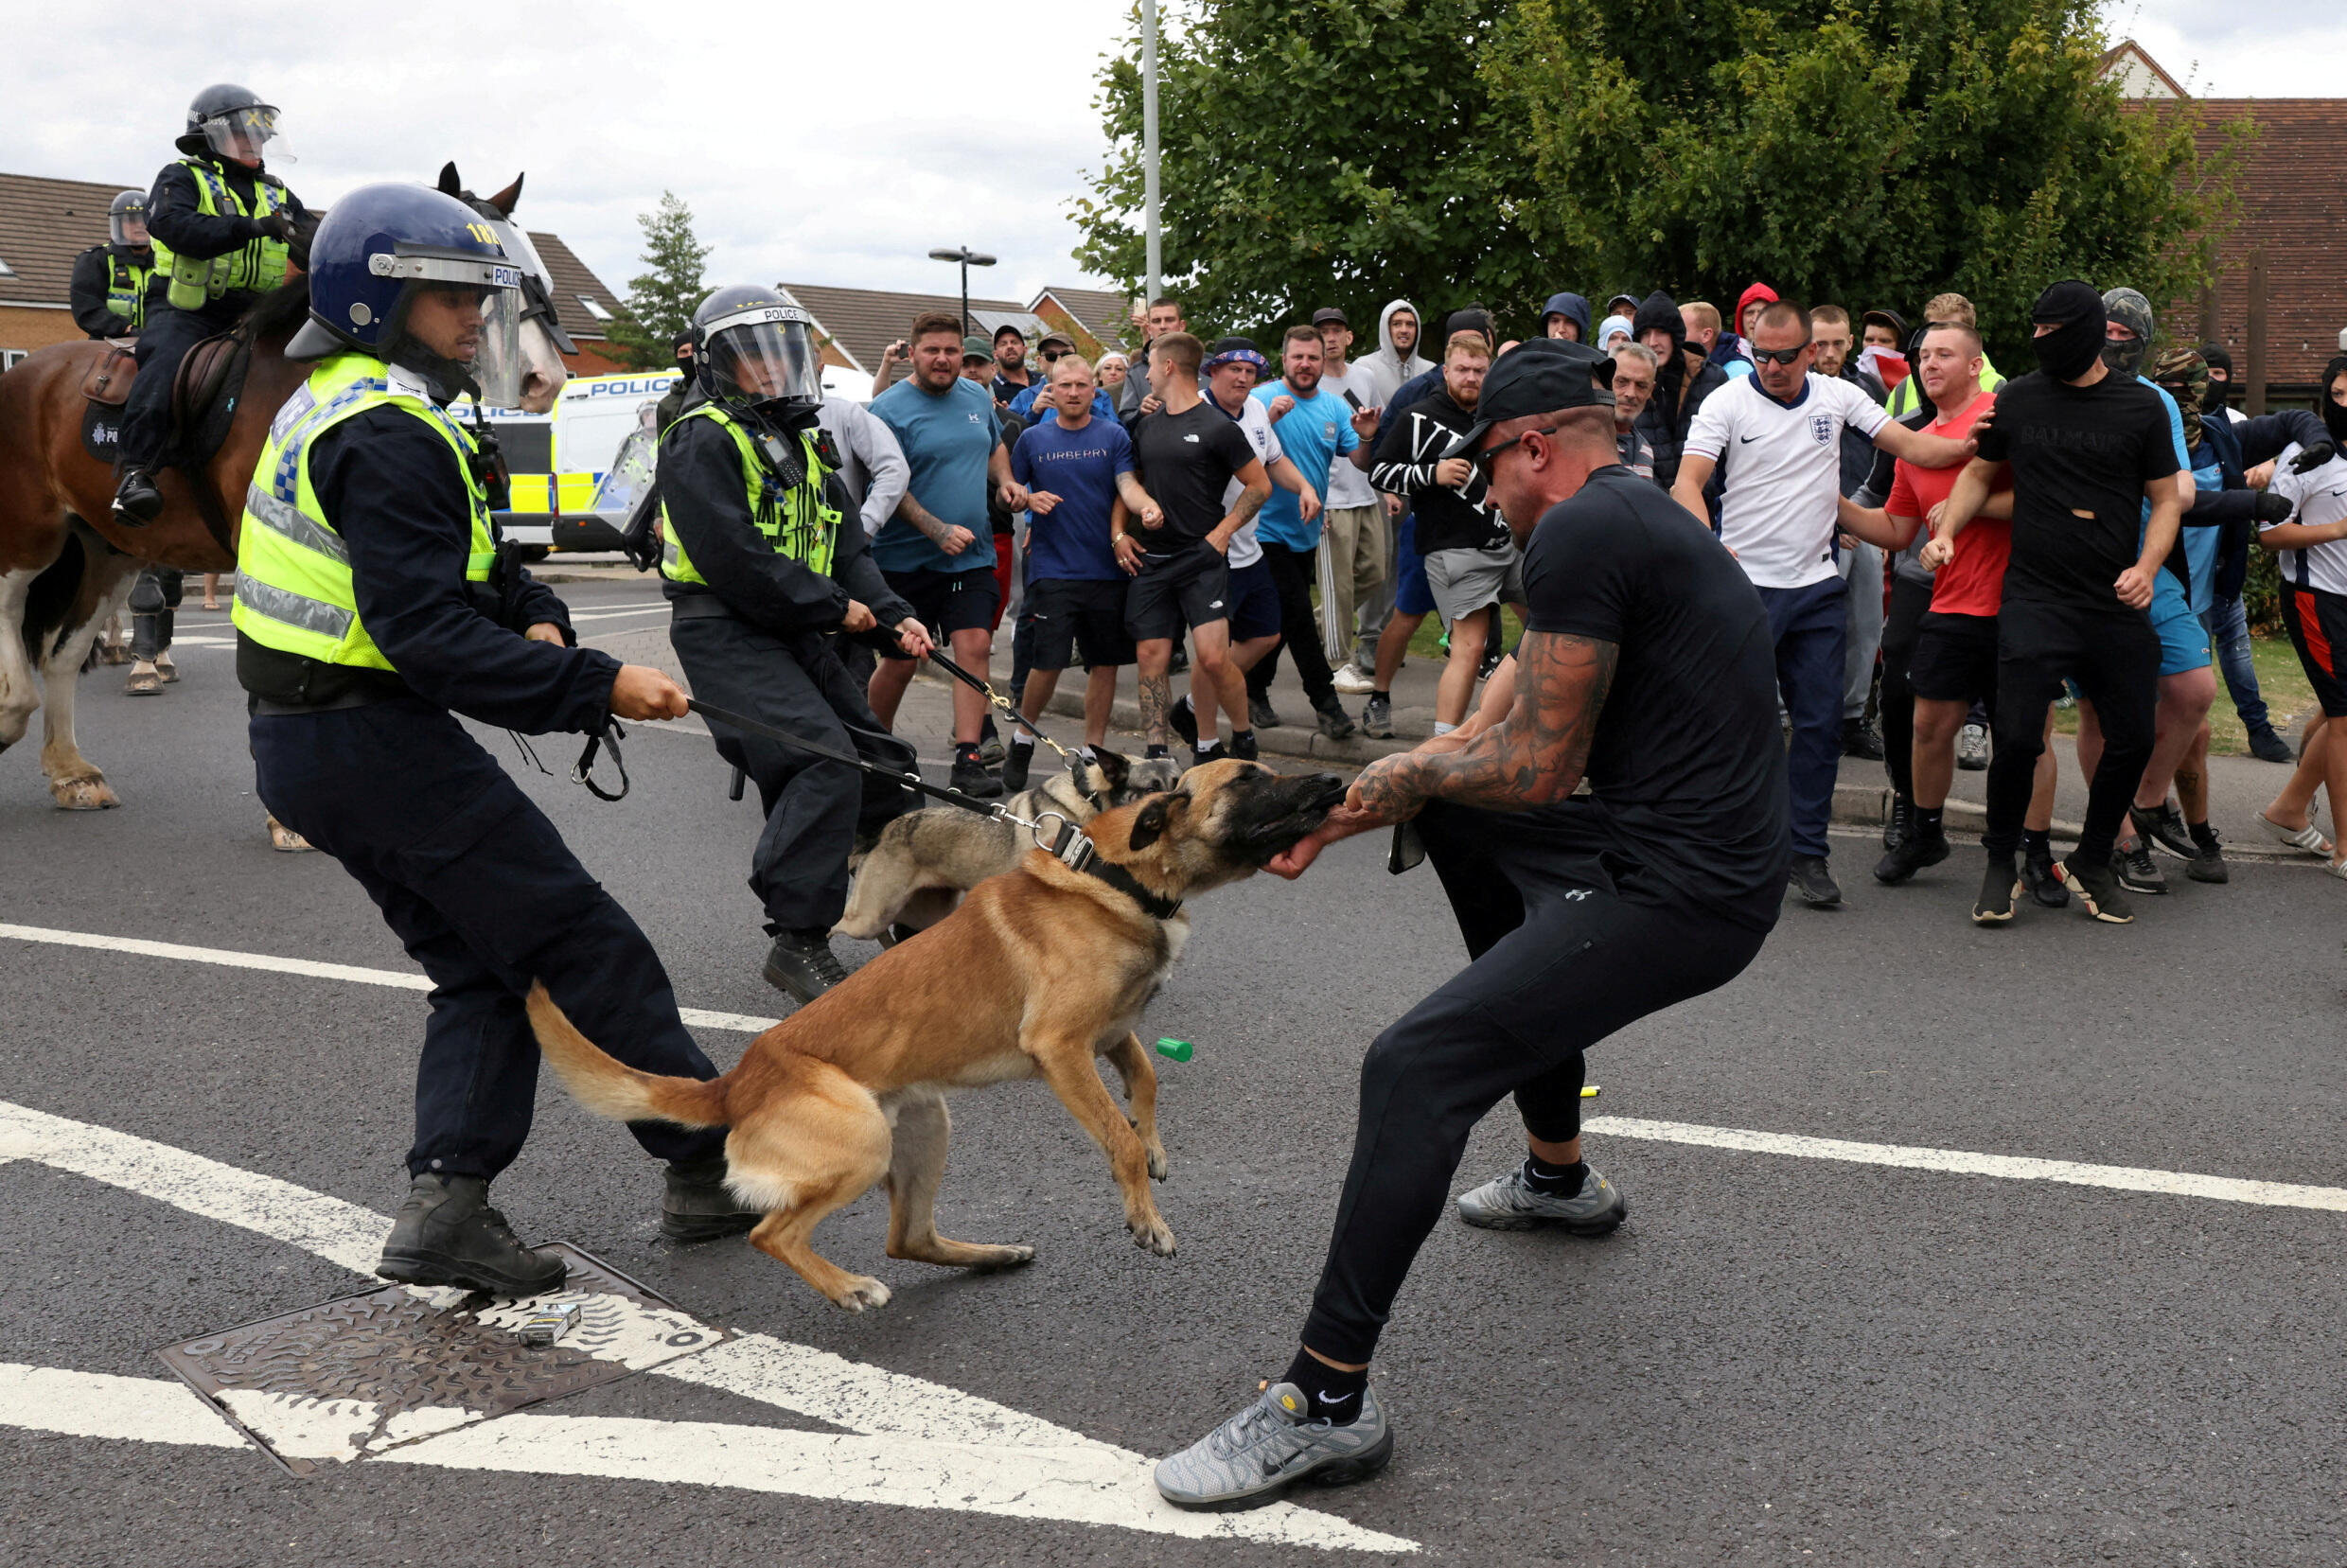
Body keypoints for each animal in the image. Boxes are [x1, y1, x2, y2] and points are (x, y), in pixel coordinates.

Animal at [0, 167, 573, 817]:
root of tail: (28, 371)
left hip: (108, 548)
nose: (546, 380)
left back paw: (71, 771)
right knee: (13, 614)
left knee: (63, 655)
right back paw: (15, 711)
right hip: (29, 534)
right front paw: (289, 819)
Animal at [835, 741, 1182, 939]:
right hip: (869, 915)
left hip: (924, 912)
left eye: (1183, 786)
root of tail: (885, 831)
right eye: (1150, 789)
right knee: (837, 926)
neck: (1092, 800)